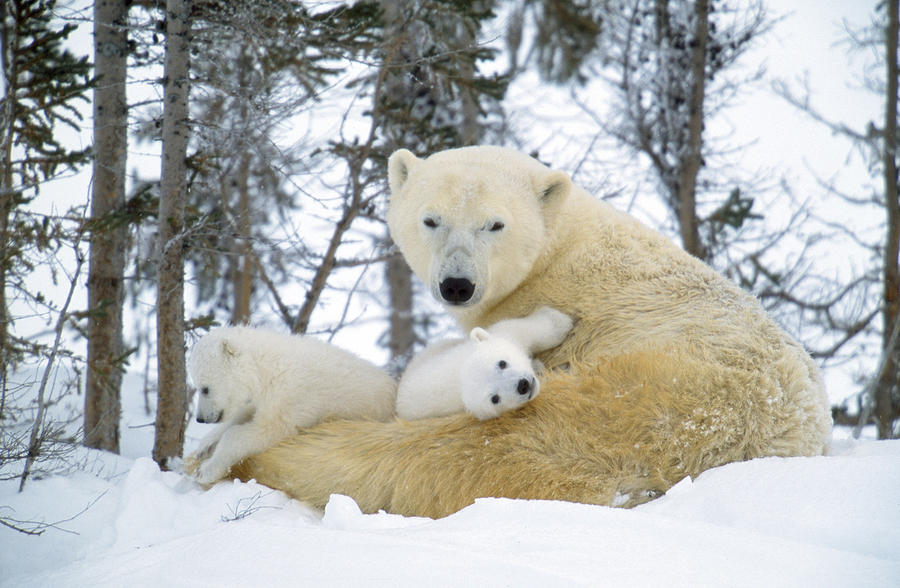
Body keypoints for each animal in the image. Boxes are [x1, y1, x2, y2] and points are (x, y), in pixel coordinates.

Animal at [185, 326, 396, 482]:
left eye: (205, 388)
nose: (201, 418)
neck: (268, 367)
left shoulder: (291, 397)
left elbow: (263, 430)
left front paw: (205, 471)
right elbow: (246, 413)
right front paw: (205, 446)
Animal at [398, 306, 572, 420]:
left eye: (502, 363)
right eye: (495, 399)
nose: (523, 385)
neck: (458, 375)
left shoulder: (501, 335)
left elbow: (525, 329)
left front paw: (560, 321)